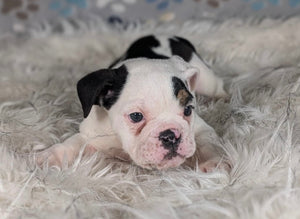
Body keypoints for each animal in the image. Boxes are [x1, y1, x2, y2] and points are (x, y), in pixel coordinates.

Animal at [37, 35, 230, 171]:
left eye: (188, 110)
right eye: (136, 116)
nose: (170, 136)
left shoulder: (200, 129)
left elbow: (208, 143)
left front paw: (215, 162)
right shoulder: (91, 133)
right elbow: (71, 143)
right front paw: (50, 156)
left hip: (205, 77)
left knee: (217, 84)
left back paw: (222, 98)